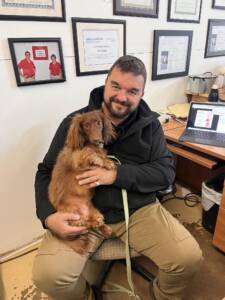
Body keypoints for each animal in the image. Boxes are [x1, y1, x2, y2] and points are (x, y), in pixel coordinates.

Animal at [48, 110, 117, 255]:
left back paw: (104, 228)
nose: (99, 140)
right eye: (86, 126)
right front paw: (107, 162)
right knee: (83, 223)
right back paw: (93, 223)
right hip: (73, 216)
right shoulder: (80, 158)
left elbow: (100, 154)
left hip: (95, 211)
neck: (89, 144)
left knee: (96, 223)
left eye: (99, 123)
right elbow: (93, 155)